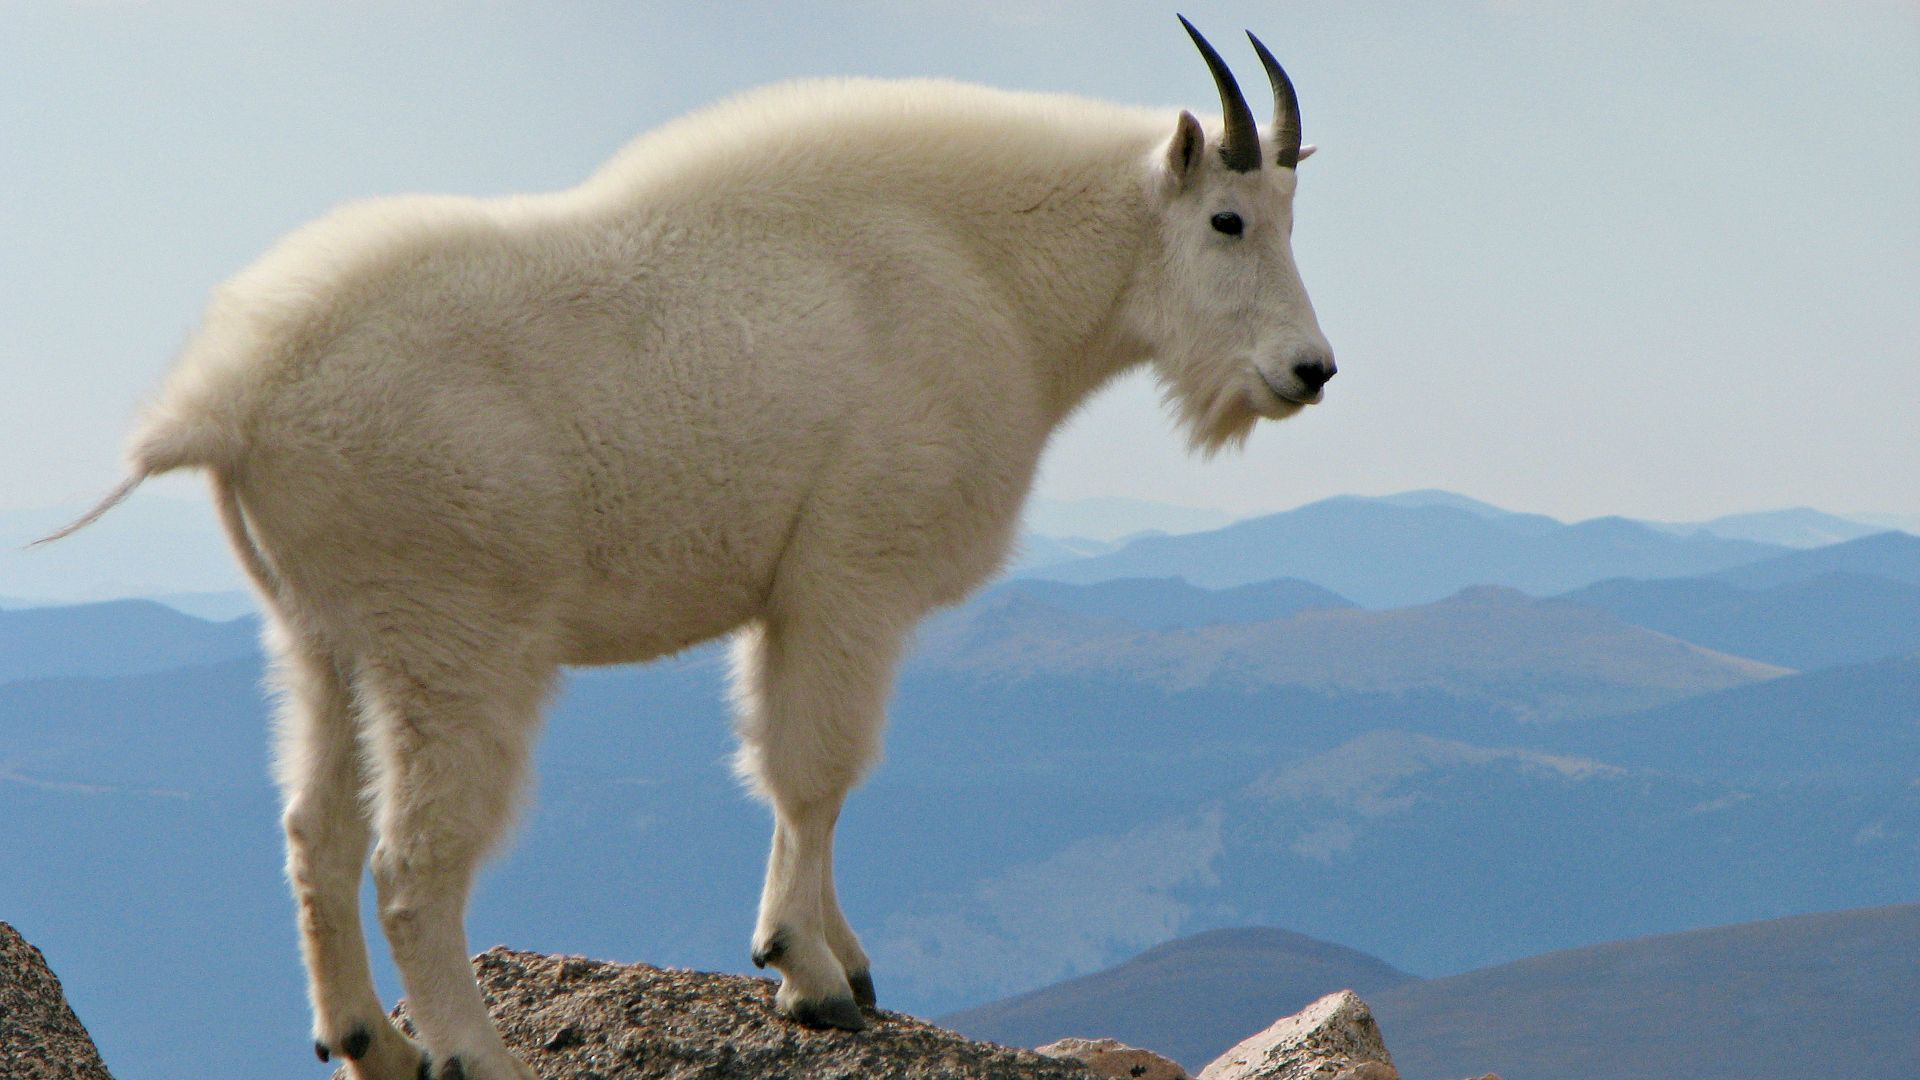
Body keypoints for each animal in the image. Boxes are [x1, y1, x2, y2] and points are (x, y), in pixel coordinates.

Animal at [41, 18, 1336, 1076]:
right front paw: (811, 977)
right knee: (413, 867)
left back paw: (371, 1044)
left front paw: (841, 961)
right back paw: (474, 1056)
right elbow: (815, 771)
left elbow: (795, 776)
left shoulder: (794, 598)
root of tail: (227, 402)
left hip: (321, 638)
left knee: (316, 834)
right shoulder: (849, 578)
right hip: (455, 642)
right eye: (1228, 220)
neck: (991, 272)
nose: (1310, 371)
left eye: (1288, 218)